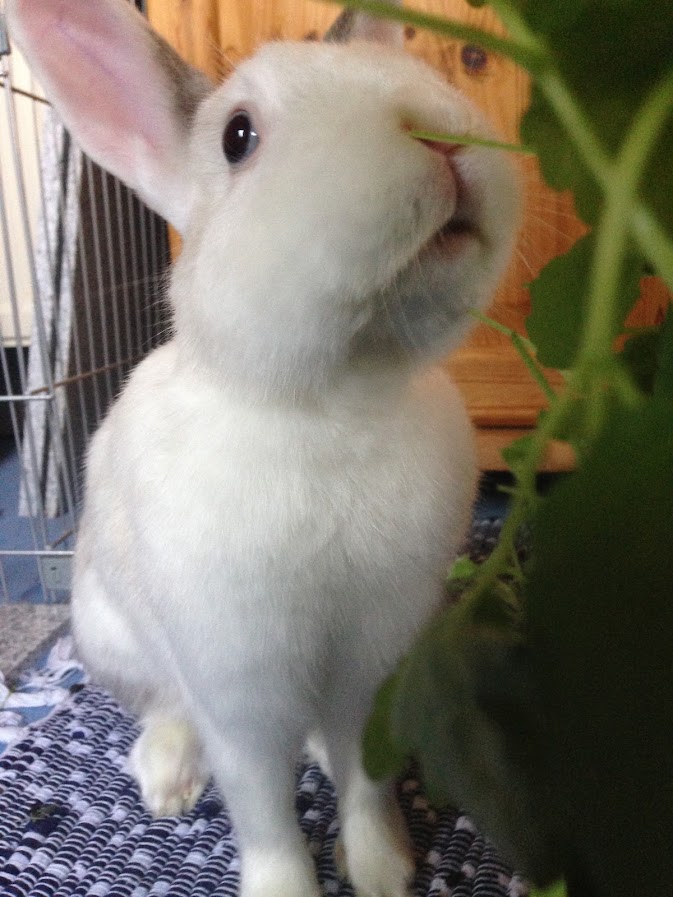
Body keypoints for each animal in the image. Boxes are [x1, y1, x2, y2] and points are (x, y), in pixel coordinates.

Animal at [6, 1, 520, 896]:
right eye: (237, 137)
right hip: (108, 632)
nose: (436, 132)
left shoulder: (370, 660)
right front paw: (288, 882)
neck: (331, 406)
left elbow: (362, 774)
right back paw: (168, 778)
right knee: (163, 705)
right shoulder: (239, 683)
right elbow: (264, 808)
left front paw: (383, 868)